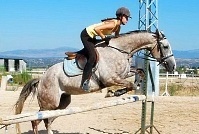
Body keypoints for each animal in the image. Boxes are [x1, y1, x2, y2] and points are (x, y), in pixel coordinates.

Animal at [14, 29, 176, 134]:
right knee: (36, 120)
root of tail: (41, 78)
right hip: (49, 103)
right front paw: (114, 93)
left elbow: (139, 73)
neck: (120, 49)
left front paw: (124, 90)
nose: (172, 66)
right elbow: (129, 84)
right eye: (165, 46)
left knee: (48, 121)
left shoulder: (123, 73)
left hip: (62, 103)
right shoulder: (110, 78)